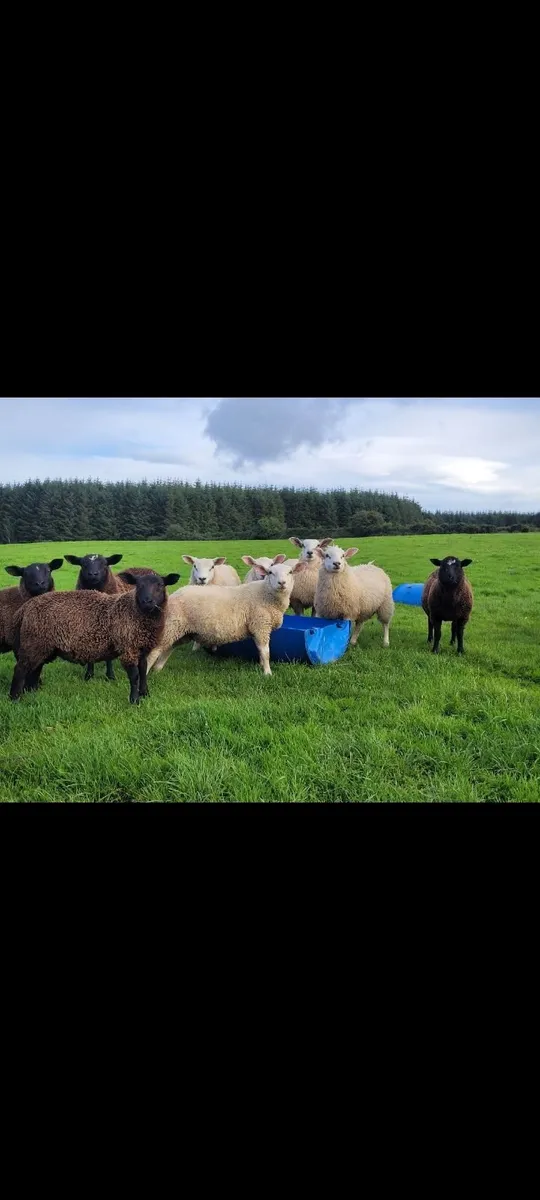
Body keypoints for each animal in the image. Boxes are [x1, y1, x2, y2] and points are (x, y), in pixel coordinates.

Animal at [9, 571, 180, 705]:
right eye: (138, 585)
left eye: (160, 585)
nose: (147, 601)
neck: (134, 611)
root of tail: (25, 608)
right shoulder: (128, 647)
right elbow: (134, 676)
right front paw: (134, 700)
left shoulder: (142, 648)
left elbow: (143, 670)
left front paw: (145, 694)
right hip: (34, 641)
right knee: (20, 669)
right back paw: (15, 698)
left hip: (41, 645)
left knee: (35, 668)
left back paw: (32, 691)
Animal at [146, 555, 307, 677]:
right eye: (270, 573)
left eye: (290, 572)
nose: (282, 583)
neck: (265, 594)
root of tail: (173, 595)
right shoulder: (260, 626)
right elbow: (266, 652)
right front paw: (267, 673)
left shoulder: (259, 628)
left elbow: (261, 652)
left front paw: (261, 666)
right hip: (172, 625)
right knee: (154, 652)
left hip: (181, 630)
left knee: (168, 648)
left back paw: (157, 669)